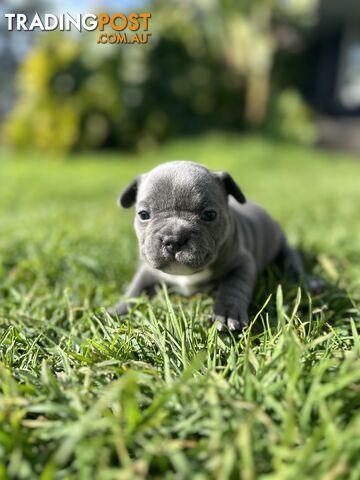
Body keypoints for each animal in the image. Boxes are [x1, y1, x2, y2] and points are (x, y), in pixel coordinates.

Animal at [113, 161, 310, 330]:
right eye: (143, 214)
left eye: (209, 215)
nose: (174, 238)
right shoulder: (148, 269)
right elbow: (135, 288)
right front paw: (117, 310)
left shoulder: (242, 263)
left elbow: (233, 287)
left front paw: (227, 314)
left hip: (283, 245)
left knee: (292, 260)